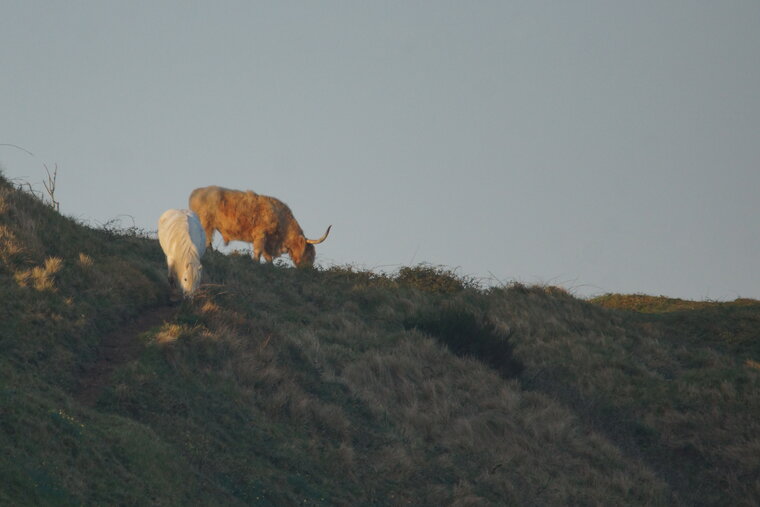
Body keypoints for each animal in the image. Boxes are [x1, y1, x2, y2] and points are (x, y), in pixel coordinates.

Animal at [188, 185, 330, 268]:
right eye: (309, 252)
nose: (309, 268)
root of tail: (197, 192)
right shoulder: (261, 235)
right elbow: (258, 252)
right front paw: (255, 262)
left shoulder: (268, 241)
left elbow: (267, 256)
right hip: (206, 223)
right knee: (207, 240)